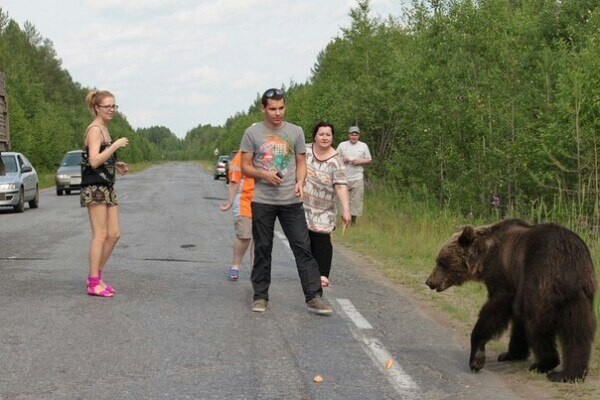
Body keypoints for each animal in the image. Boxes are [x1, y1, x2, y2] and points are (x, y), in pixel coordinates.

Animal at [426, 220, 596, 382]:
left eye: (441, 262)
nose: (429, 282)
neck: (484, 257)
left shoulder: (503, 276)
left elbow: (495, 309)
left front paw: (476, 359)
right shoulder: (516, 284)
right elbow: (516, 320)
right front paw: (511, 354)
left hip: (542, 281)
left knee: (535, 323)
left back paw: (545, 363)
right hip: (579, 297)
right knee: (577, 334)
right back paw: (569, 374)